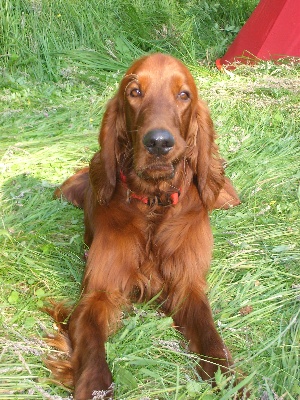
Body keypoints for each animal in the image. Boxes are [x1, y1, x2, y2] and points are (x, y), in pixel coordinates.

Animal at [46, 54, 241, 400]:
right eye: (134, 92)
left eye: (183, 95)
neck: (153, 203)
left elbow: (211, 337)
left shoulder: (187, 285)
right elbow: (91, 346)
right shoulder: (99, 292)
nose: (159, 142)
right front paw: (94, 387)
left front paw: (229, 378)